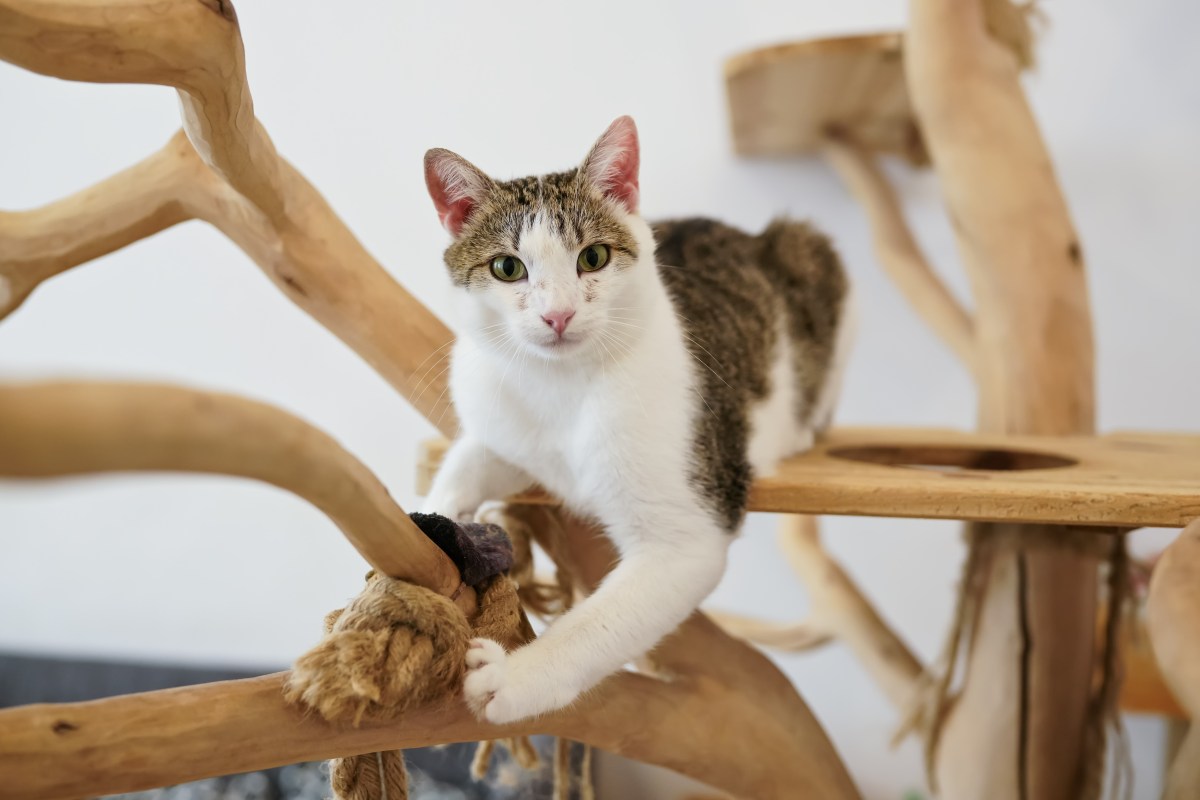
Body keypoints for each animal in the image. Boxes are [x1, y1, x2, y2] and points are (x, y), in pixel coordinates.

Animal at [422, 115, 854, 724]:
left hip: (812, 253)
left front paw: (516, 675)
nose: (558, 315)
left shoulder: (687, 537)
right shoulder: (501, 424)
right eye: (507, 268)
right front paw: (433, 519)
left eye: (593, 258)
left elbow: (596, 625)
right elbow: (466, 463)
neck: (562, 386)